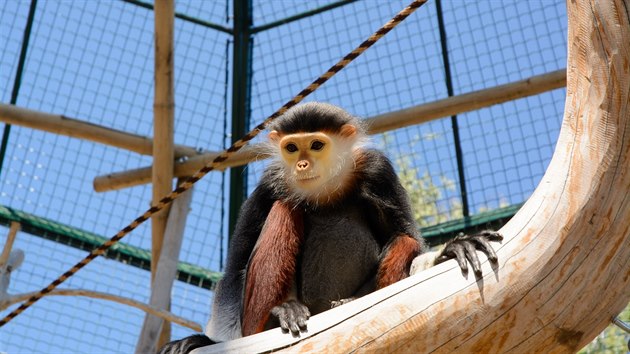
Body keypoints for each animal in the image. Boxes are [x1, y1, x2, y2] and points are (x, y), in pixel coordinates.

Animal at [160, 102, 506, 354]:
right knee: (284, 209)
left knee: (403, 240)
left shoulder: (377, 169)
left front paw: (450, 250)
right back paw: (281, 313)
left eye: (316, 145)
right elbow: (233, 273)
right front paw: (204, 341)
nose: (302, 164)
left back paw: (347, 303)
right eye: (291, 148)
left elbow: (412, 239)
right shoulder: (270, 183)